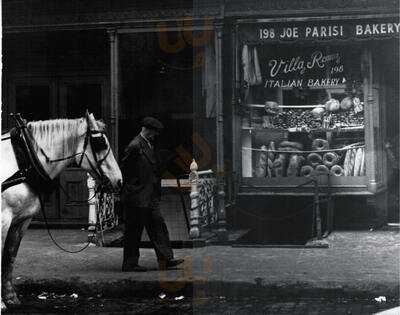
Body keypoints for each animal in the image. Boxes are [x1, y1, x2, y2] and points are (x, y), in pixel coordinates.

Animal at [0, 111, 122, 312]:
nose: (119, 180)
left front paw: (10, 297)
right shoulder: (3, 218)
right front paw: (2, 302)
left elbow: (10, 255)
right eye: (101, 143)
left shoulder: (21, 220)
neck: (23, 160)